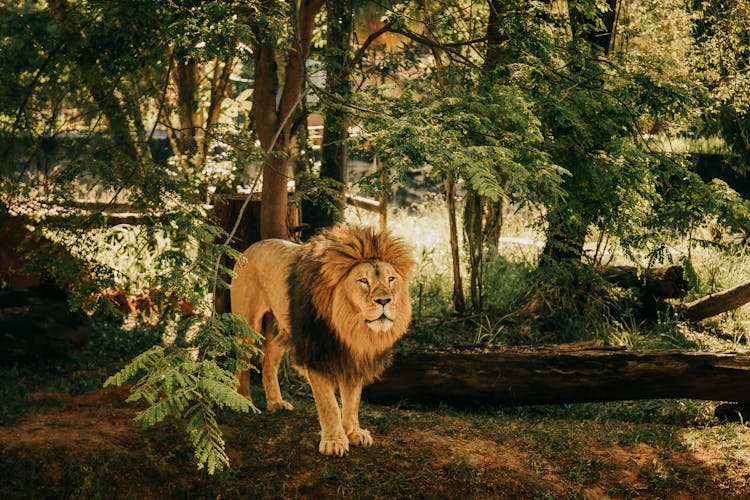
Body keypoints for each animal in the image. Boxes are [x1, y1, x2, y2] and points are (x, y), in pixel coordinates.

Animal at [232, 225, 414, 456]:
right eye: (363, 281)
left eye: (391, 279)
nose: (384, 301)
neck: (349, 328)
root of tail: (252, 246)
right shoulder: (315, 355)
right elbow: (329, 404)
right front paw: (334, 441)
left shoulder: (355, 357)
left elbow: (352, 400)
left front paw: (354, 432)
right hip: (247, 323)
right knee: (242, 361)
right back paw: (243, 399)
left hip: (277, 330)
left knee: (268, 366)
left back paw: (275, 403)